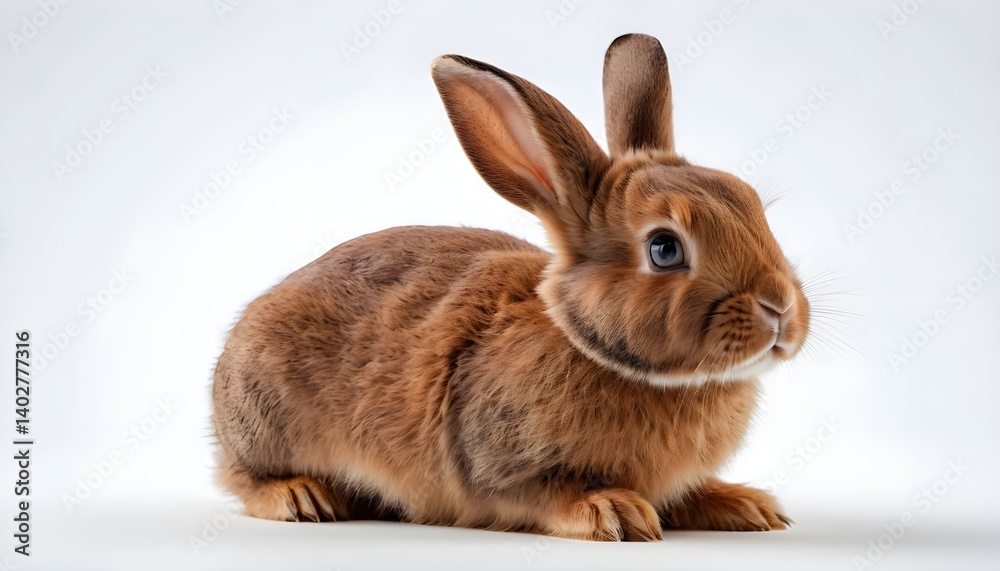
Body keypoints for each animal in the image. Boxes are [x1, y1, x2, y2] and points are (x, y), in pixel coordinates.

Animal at [211, 33, 809, 542]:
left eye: (753, 205)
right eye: (664, 248)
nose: (780, 310)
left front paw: (747, 506)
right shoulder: (497, 466)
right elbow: (543, 494)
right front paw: (614, 511)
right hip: (264, 419)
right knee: (243, 478)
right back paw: (301, 497)